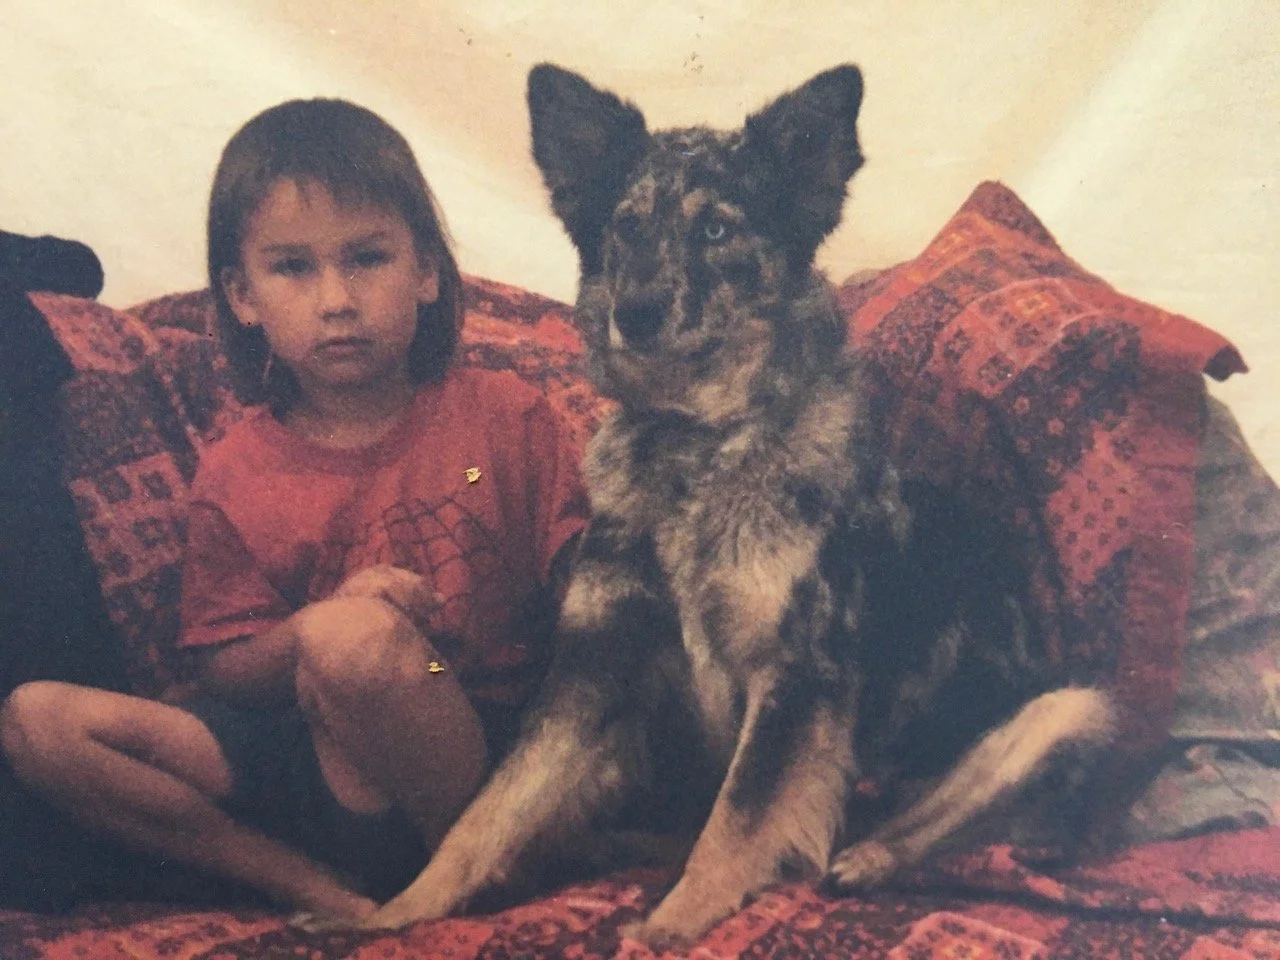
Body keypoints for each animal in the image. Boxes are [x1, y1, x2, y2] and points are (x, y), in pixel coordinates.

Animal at [362, 63, 1118, 947]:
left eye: (718, 231)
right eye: (625, 227)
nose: (635, 312)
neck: (699, 440)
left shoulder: (794, 676)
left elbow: (739, 819)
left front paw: (675, 922)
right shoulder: (593, 667)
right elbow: (492, 807)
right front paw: (398, 911)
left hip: (1070, 708)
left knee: (952, 820)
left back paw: (868, 858)